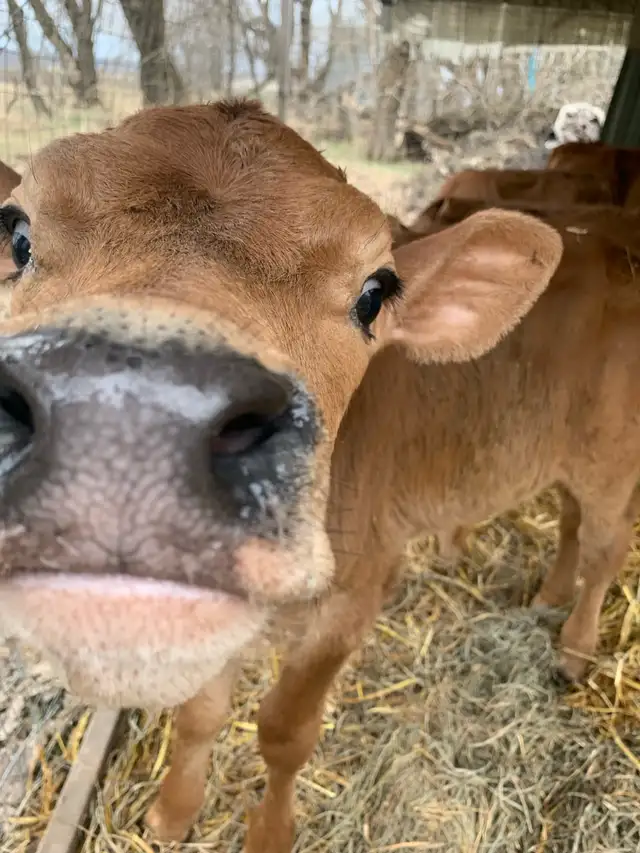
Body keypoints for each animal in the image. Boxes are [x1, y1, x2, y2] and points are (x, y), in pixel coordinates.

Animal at [0, 100, 567, 851]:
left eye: (375, 293)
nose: (124, 422)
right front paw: (174, 812)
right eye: (17, 235)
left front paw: (270, 831)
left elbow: (286, 731)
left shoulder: (351, 599)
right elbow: (201, 712)